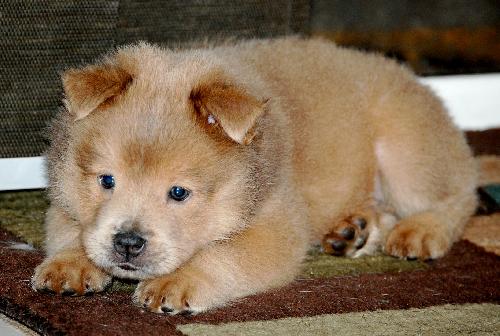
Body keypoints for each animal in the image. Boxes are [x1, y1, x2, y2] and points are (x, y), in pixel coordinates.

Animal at [31, 38, 476, 314]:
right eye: (106, 181)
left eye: (179, 192)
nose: (127, 242)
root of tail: (412, 78)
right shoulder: (64, 201)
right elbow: (73, 230)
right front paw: (70, 265)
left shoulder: (275, 228)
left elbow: (221, 255)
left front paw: (176, 283)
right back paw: (354, 231)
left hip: (406, 149)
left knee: (458, 196)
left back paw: (419, 232)